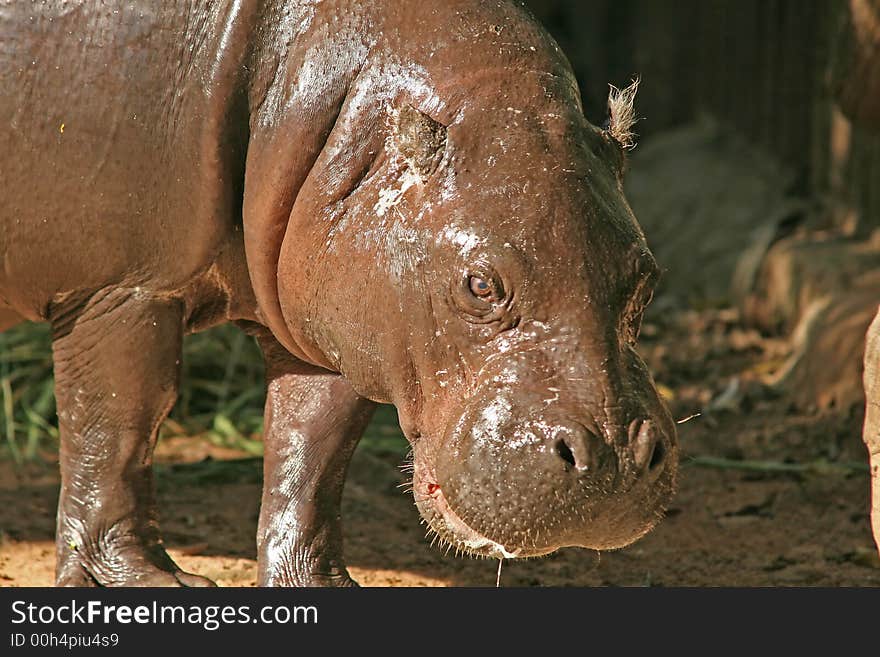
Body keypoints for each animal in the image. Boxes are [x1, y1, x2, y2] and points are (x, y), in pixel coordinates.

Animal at [0, 0, 676, 584]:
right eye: (480, 284)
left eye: (647, 278)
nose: (612, 460)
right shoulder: (122, 287)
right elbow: (119, 426)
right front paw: (143, 583)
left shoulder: (339, 323)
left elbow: (313, 451)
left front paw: (317, 584)